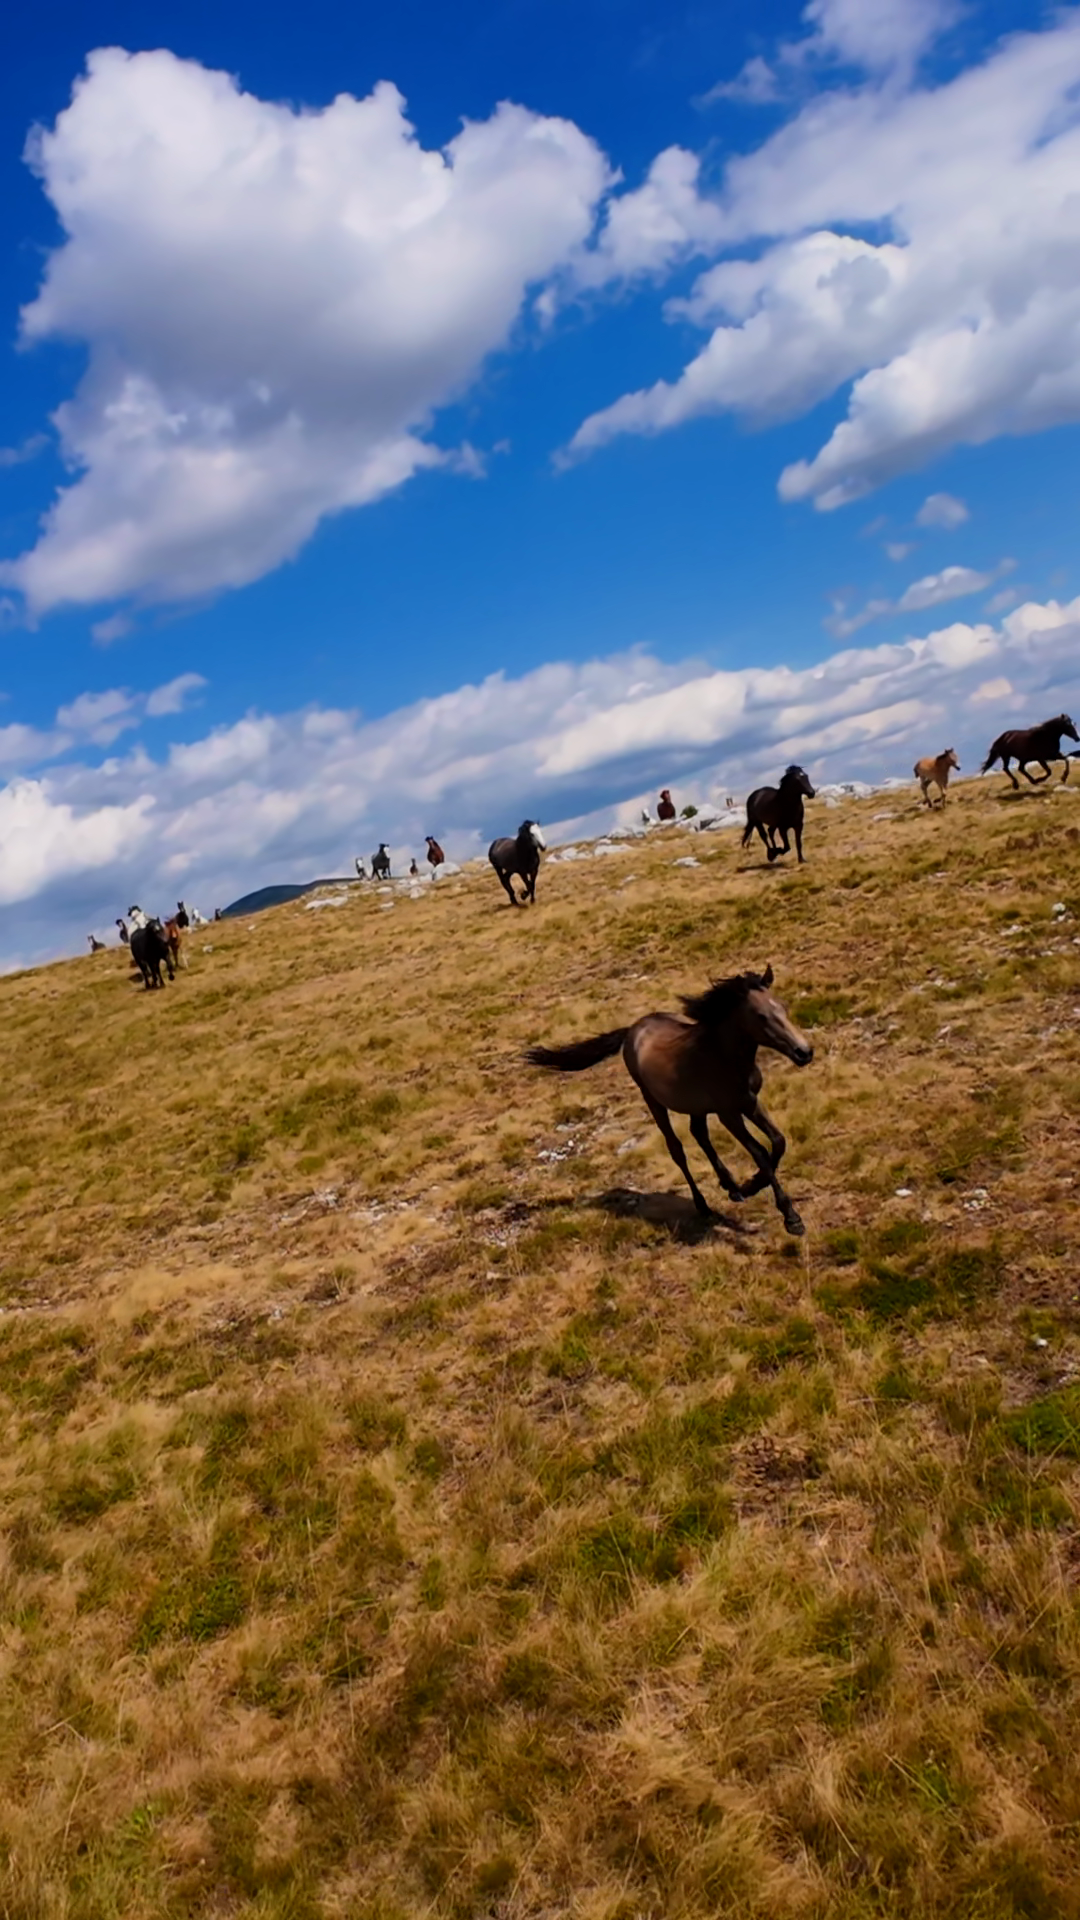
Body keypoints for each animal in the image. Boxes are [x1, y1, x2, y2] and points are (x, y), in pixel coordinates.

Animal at [526, 966, 813, 1236]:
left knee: (699, 1134)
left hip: (695, 1105)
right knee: (677, 1149)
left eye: (783, 1007)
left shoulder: (749, 1101)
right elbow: (760, 1152)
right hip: (653, 1100)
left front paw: (750, 1185)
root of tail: (632, 1030)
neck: (723, 1056)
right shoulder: (728, 1113)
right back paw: (703, 1205)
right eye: (761, 1016)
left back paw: (731, 1187)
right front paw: (790, 1217)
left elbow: (778, 1141)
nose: (804, 1052)